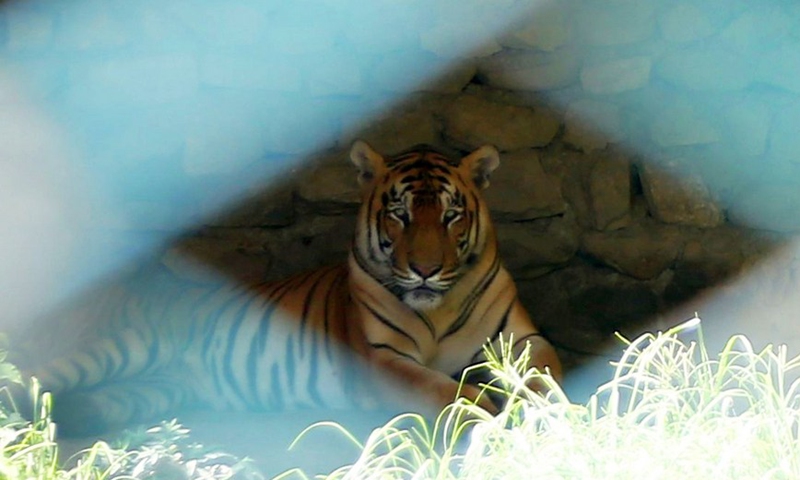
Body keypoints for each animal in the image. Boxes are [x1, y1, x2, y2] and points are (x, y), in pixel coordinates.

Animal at [18, 140, 562, 435]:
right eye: (400, 215)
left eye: (451, 215)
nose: (425, 270)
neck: (439, 307)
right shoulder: (383, 358)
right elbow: (443, 390)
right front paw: (485, 412)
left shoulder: (521, 339)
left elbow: (544, 374)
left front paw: (549, 407)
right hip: (116, 348)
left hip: (151, 389)